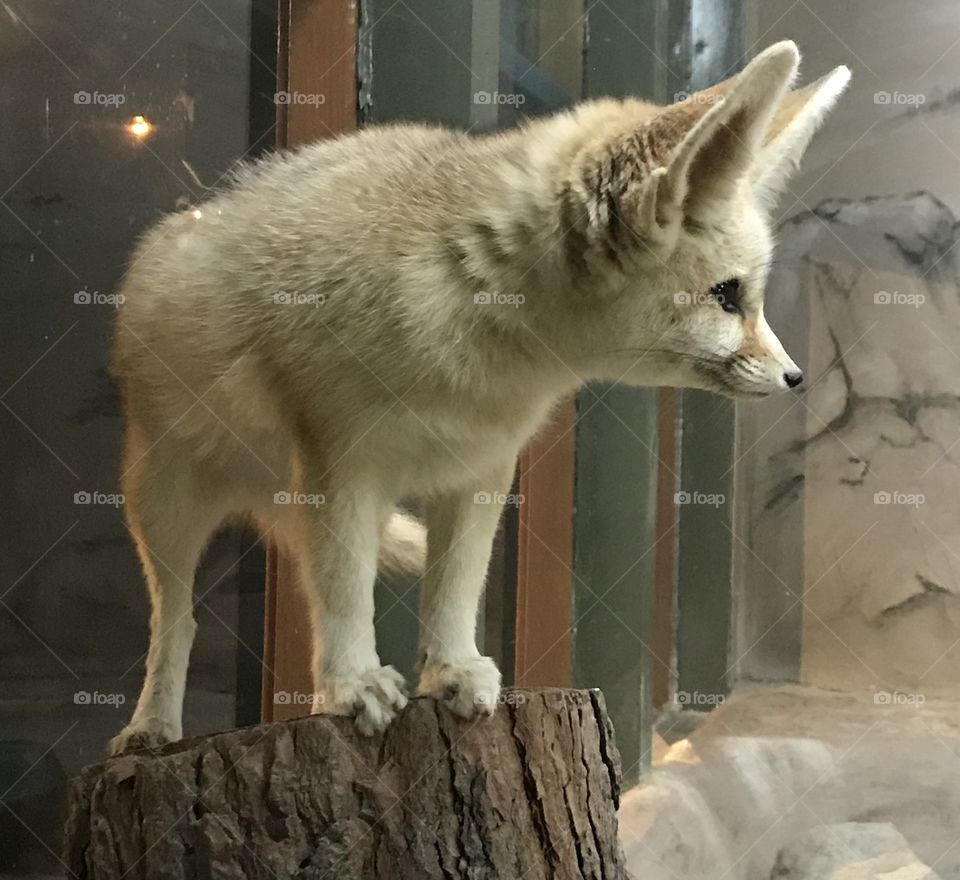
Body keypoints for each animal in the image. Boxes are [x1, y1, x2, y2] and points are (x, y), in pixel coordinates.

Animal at [108, 41, 849, 754]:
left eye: (749, 297)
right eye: (727, 296)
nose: (795, 378)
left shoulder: (481, 470)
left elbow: (456, 586)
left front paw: (452, 668)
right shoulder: (341, 465)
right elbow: (343, 589)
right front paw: (351, 684)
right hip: (165, 509)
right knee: (176, 619)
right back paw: (150, 726)